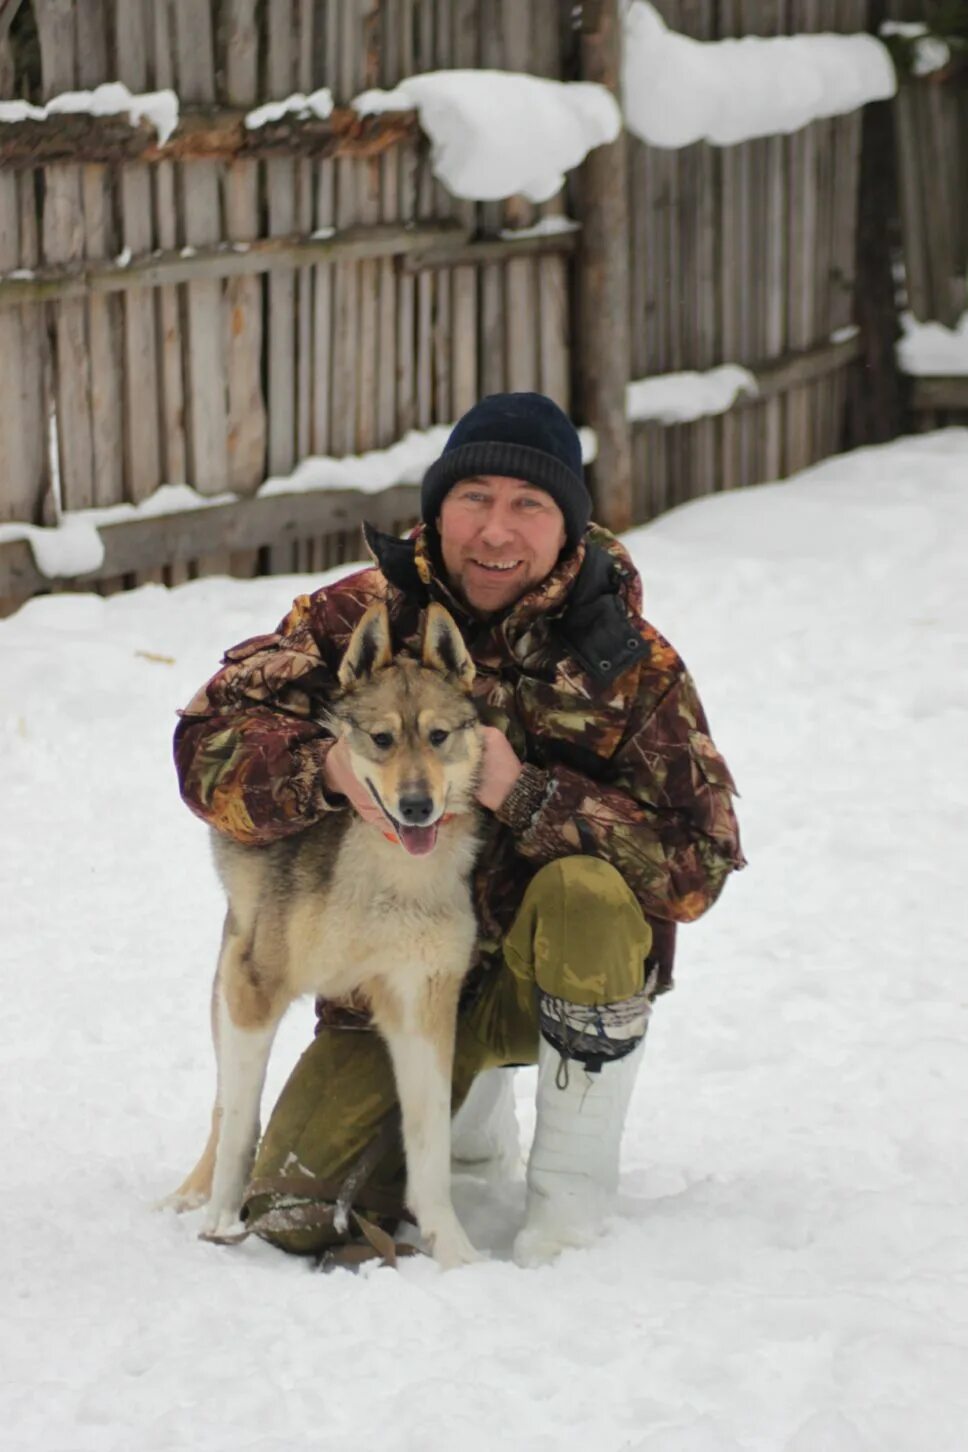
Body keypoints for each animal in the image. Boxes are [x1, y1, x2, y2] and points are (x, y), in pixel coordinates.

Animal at [168, 606, 484, 1266]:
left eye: (439, 736)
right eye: (382, 739)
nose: (417, 807)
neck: (387, 876)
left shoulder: (422, 1002)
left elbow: (431, 1149)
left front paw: (453, 1250)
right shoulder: (255, 991)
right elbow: (240, 1128)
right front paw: (219, 1226)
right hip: (229, 981)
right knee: (225, 1107)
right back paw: (191, 1197)